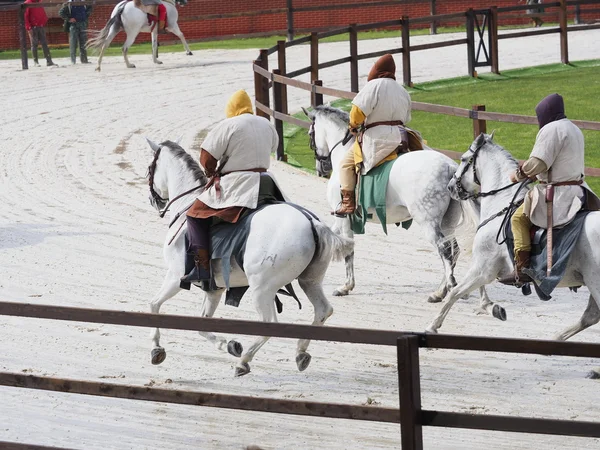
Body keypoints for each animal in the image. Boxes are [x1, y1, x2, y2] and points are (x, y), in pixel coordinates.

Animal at [145, 140, 352, 376]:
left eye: (149, 169)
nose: (153, 201)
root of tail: (312, 223)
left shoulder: (175, 277)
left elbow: (154, 305)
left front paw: (156, 348)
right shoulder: (214, 289)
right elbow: (202, 323)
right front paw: (227, 344)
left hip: (262, 289)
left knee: (270, 324)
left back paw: (244, 361)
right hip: (310, 281)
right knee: (322, 310)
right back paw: (300, 351)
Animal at [304, 106, 496, 310]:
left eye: (310, 134)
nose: (321, 168)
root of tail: (451, 167)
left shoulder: (343, 218)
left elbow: (348, 249)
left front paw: (346, 286)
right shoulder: (340, 219)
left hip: (428, 222)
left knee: (444, 249)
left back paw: (449, 287)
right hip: (447, 223)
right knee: (454, 250)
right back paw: (439, 292)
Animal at [428, 134, 600, 352]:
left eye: (464, 159)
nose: (451, 187)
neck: (501, 203)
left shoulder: (483, 270)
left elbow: (455, 293)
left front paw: (432, 326)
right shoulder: (483, 270)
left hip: (595, 282)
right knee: (590, 316)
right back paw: (554, 340)